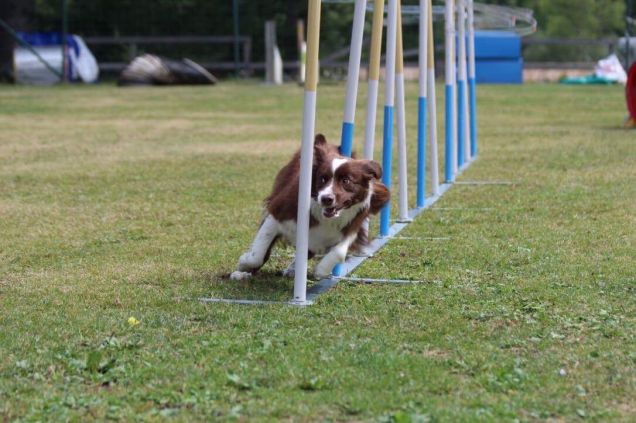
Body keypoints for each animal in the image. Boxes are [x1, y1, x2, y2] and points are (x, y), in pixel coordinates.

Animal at [229, 134, 388, 282]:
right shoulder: (277, 213)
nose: (326, 199)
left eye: (346, 180)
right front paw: (244, 262)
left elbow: (339, 251)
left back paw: (293, 269)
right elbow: (257, 254)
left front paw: (321, 270)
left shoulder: (351, 226)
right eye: (322, 178)